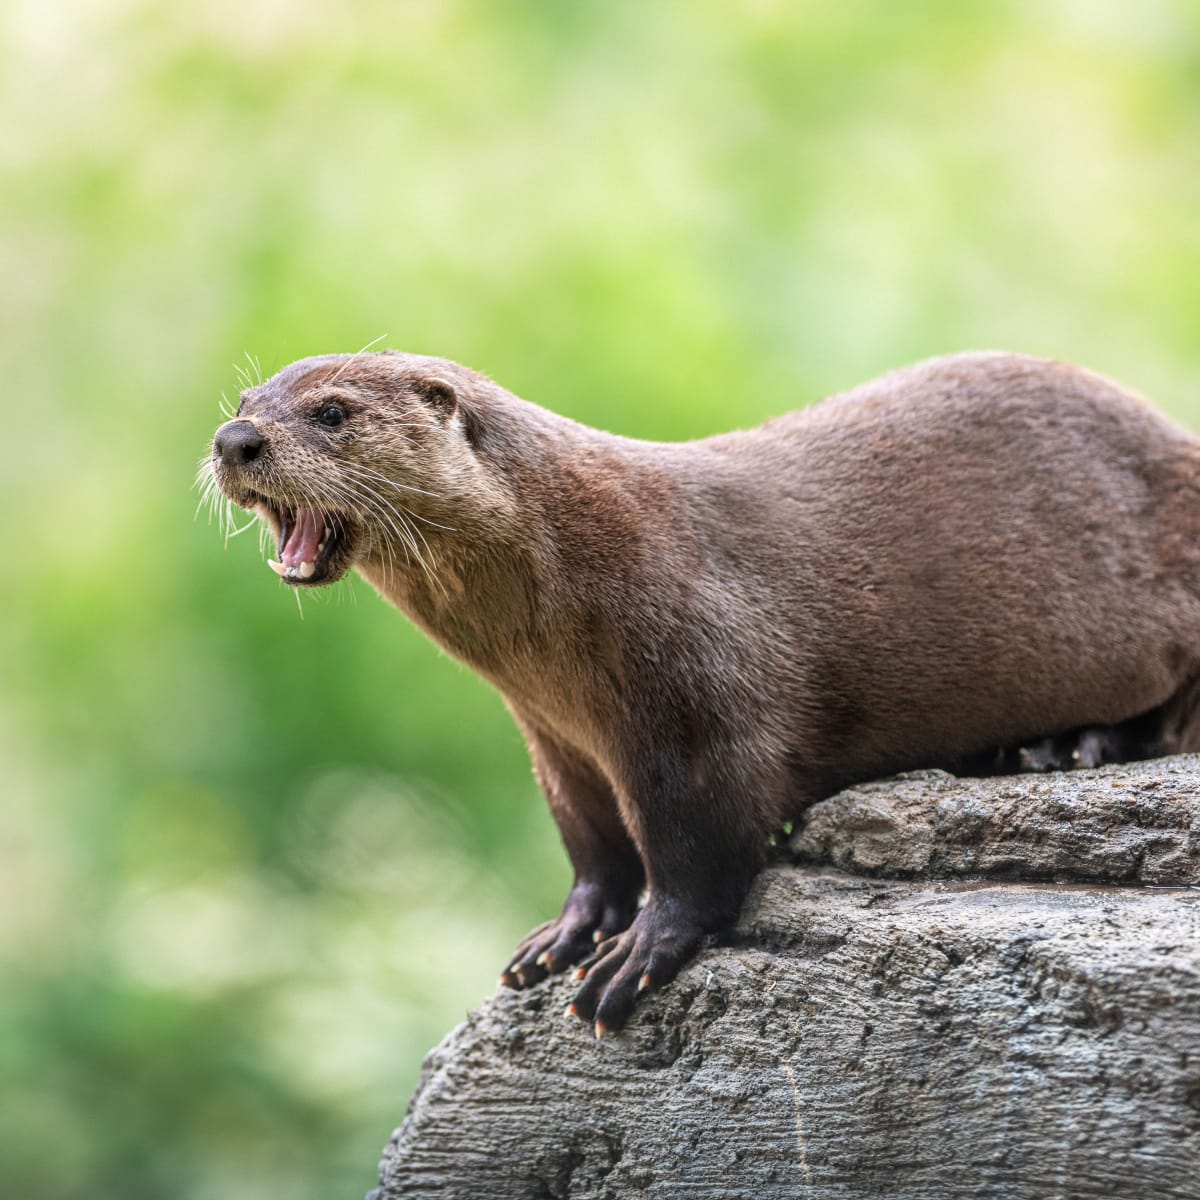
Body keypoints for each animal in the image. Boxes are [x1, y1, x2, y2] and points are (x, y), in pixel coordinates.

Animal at [207, 350, 1200, 1034]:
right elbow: (593, 846)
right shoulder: (556, 743)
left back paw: (1069, 744)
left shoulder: (694, 715)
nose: (233, 442)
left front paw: (641, 955)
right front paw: (565, 936)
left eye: (331, 412)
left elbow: (699, 849)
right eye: (246, 403)